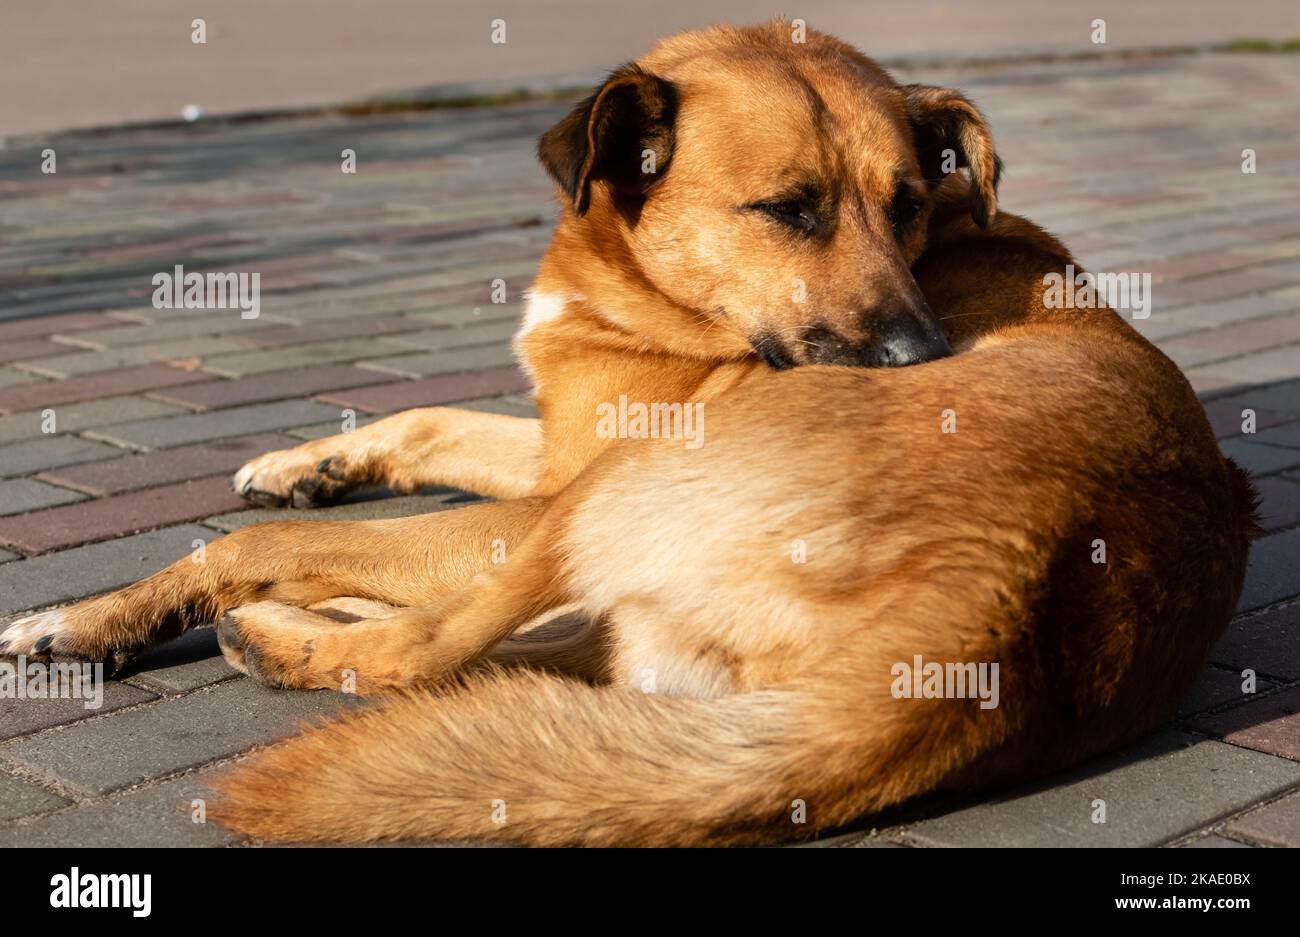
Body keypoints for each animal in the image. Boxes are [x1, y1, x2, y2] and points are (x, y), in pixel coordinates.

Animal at [2, 21, 1258, 842]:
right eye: (790, 209)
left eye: (907, 204)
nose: (922, 359)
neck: (645, 299)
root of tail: (996, 617)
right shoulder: (559, 441)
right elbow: (423, 418)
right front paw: (300, 461)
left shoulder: (566, 480)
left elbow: (252, 541)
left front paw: (88, 618)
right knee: (528, 653)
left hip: (597, 506)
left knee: (429, 651)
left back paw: (274, 627)